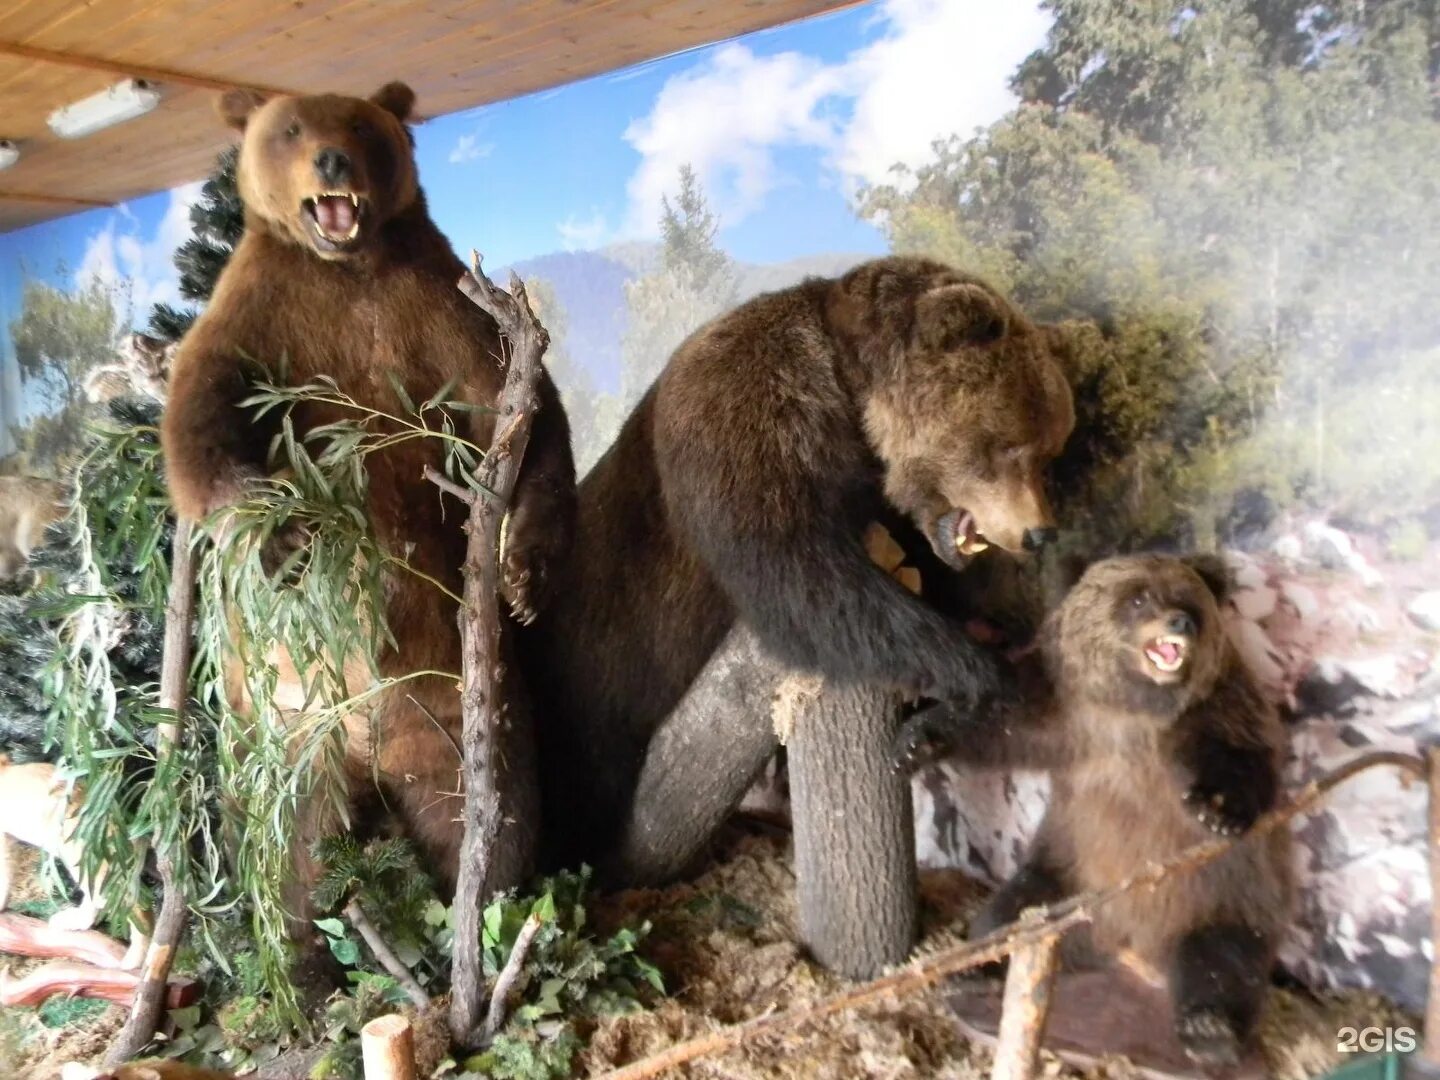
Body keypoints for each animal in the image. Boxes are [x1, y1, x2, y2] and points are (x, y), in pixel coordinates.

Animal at [162, 84, 573, 898]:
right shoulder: (266, 312)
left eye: (357, 122)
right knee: (282, 855)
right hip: (278, 738)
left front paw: (526, 571)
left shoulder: (440, 313)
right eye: (290, 126)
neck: (348, 267)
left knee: (492, 812)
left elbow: (523, 412)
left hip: (472, 715)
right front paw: (281, 535)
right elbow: (202, 408)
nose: (331, 158)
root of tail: (362, 746)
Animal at [524, 256, 1077, 869]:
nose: (1038, 531)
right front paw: (981, 681)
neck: (850, 397)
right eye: (1013, 446)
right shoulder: (753, 410)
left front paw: (934, 715)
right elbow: (799, 577)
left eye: (1050, 448)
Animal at [892, 552, 1290, 1071]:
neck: (1132, 715)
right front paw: (915, 739)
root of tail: (1126, 946)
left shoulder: (1214, 714)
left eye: (1188, 599)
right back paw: (975, 968)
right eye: (1139, 597)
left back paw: (1209, 1030)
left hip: (1221, 895)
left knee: (1223, 959)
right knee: (1010, 912)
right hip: (1067, 874)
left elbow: (1244, 758)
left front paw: (1217, 808)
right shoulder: (1063, 713)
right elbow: (992, 726)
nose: (1180, 621)